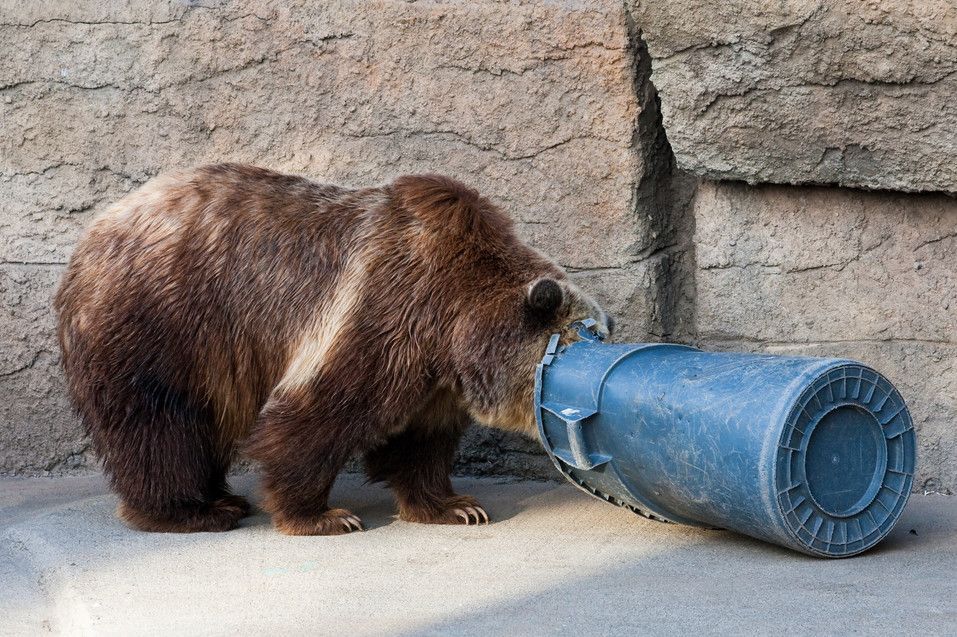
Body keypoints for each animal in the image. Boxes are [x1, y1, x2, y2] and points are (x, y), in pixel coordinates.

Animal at [54, 164, 612, 535]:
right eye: (578, 341)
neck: (452, 319)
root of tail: (89, 237)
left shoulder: (434, 375)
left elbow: (420, 441)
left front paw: (454, 506)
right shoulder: (381, 309)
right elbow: (316, 416)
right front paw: (323, 515)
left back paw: (217, 496)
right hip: (161, 320)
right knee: (160, 422)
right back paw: (193, 510)